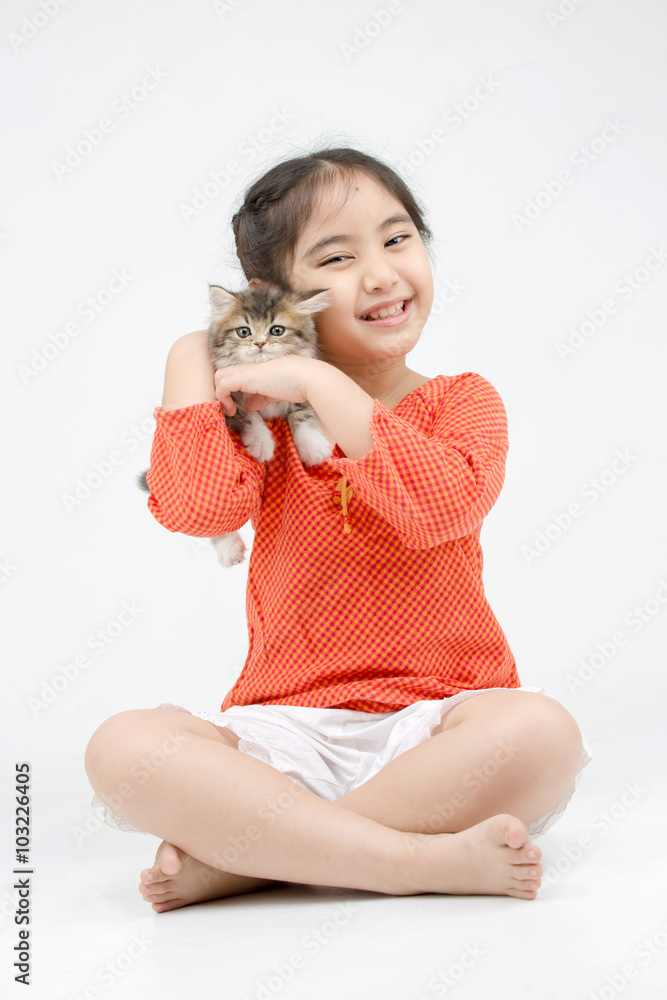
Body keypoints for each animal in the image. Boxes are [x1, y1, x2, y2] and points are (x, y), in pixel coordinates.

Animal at [139, 282, 334, 568]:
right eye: (244, 332)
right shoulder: (227, 403)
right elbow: (249, 416)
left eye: (277, 330)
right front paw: (262, 444)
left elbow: (300, 413)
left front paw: (312, 447)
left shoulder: (298, 387)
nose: (260, 343)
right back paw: (228, 549)